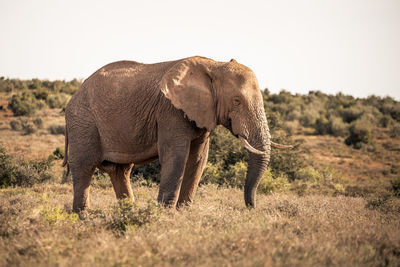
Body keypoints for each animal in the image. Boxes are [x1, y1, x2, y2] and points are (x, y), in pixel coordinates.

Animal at [64, 57, 292, 214]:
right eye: (237, 101)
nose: (251, 207)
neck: (214, 65)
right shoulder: (170, 110)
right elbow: (176, 156)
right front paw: (164, 214)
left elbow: (198, 159)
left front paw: (183, 212)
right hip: (83, 122)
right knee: (85, 167)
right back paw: (82, 216)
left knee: (120, 170)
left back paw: (128, 211)